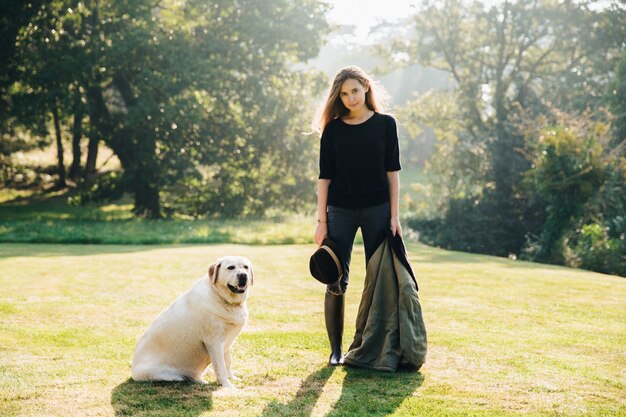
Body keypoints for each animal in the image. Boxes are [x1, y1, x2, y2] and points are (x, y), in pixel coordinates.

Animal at [130, 255, 252, 388]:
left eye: (245, 267)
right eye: (231, 267)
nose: (243, 275)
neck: (222, 298)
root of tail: (133, 371)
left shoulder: (227, 342)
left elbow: (227, 362)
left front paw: (232, 378)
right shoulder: (214, 342)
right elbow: (221, 367)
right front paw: (227, 386)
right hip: (165, 375)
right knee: (186, 378)